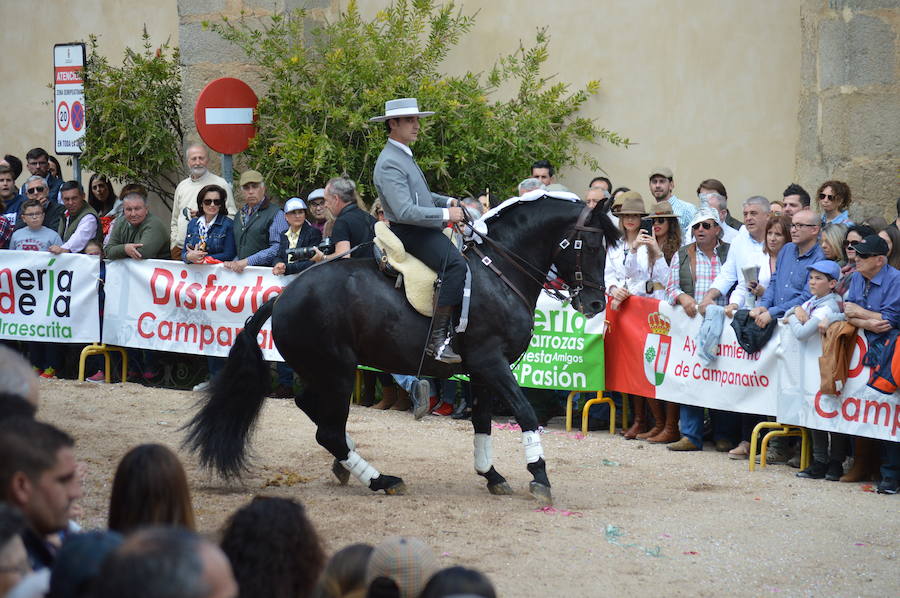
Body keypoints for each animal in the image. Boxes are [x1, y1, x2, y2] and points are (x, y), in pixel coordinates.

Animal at [183, 197, 620, 506]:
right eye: (590, 245)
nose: (596, 304)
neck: (498, 271)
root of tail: (282, 297)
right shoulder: (491, 363)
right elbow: (525, 413)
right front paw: (539, 476)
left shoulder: (482, 370)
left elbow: (482, 421)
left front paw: (492, 475)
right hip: (337, 370)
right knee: (327, 428)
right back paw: (381, 479)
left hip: (320, 371)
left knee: (314, 411)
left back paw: (348, 463)